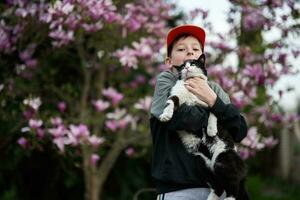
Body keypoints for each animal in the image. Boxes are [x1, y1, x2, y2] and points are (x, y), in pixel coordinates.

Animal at [158, 54, 247, 200]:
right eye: (182, 66)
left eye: (193, 63)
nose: (187, 67)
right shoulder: (178, 95)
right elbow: (171, 101)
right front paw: (165, 115)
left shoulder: (208, 101)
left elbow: (212, 111)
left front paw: (211, 130)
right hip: (202, 163)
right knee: (219, 187)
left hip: (223, 160)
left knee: (233, 187)